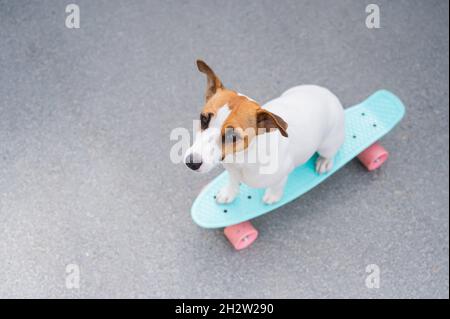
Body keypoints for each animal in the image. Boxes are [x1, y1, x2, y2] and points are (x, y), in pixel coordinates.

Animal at [184, 60, 344, 205]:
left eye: (233, 136)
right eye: (204, 119)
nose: (191, 163)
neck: (241, 158)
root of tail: (327, 93)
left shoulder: (283, 173)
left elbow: (277, 185)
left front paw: (273, 196)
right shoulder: (232, 171)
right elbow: (233, 181)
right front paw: (229, 193)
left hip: (328, 144)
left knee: (330, 152)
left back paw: (324, 161)